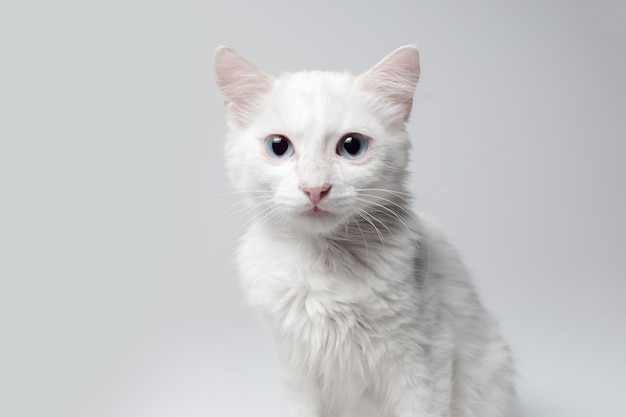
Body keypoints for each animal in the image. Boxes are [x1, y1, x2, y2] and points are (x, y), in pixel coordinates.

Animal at [212, 45, 516, 416]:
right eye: (278, 147)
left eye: (352, 146)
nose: (315, 189)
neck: (325, 263)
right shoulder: (297, 370)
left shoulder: (425, 357)